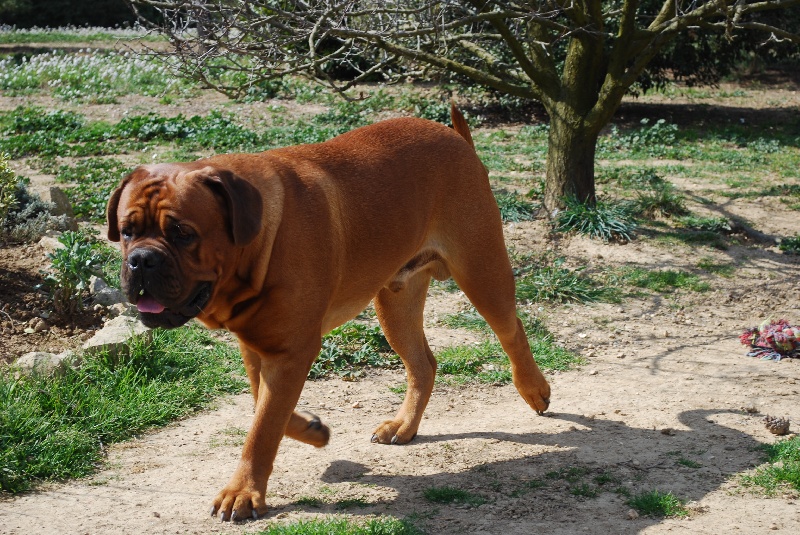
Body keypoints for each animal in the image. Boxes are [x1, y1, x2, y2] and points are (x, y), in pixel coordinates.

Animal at [106, 103, 552, 520]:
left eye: (183, 233)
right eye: (126, 231)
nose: (141, 260)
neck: (258, 240)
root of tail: (456, 137)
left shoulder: (291, 351)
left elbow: (262, 428)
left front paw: (243, 493)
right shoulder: (259, 347)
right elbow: (265, 408)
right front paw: (313, 430)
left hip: (481, 271)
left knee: (511, 330)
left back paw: (535, 390)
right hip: (396, 303)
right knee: (423, 364)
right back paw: (404, 426)